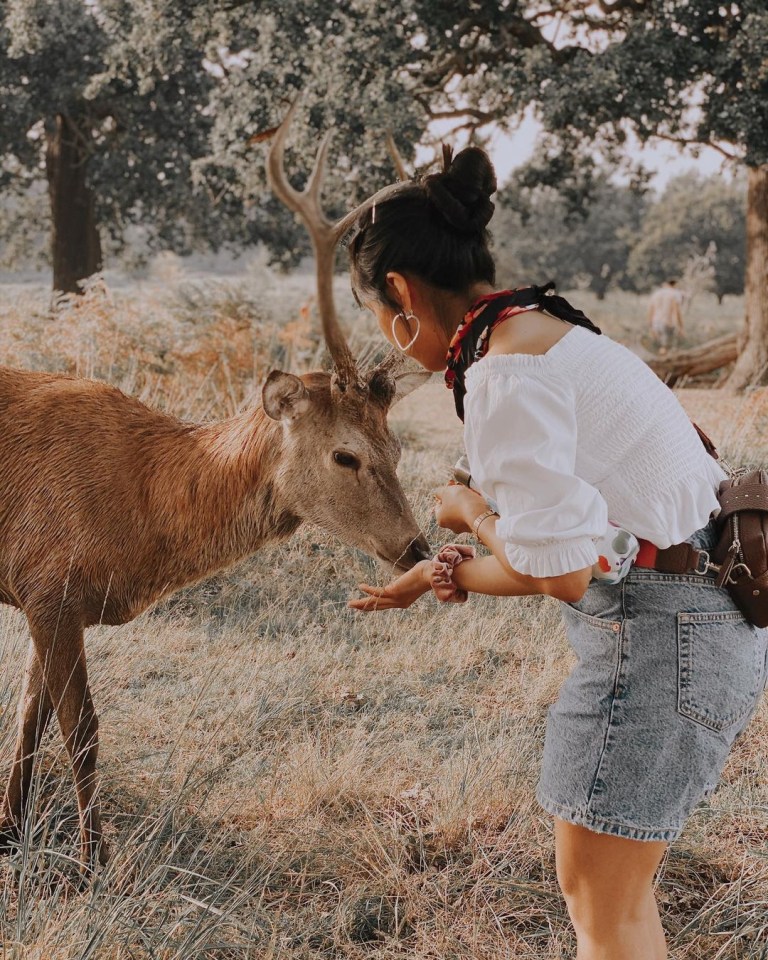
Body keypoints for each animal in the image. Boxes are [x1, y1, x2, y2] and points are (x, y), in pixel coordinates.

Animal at [0, 103, 432, 872]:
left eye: (397, 445)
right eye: (346, 455)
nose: (416, 547)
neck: (140, 516)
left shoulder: (38, 597)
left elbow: (25, 723)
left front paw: (10, 832)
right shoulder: (51, 583)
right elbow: (80, 731)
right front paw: (92, 864)